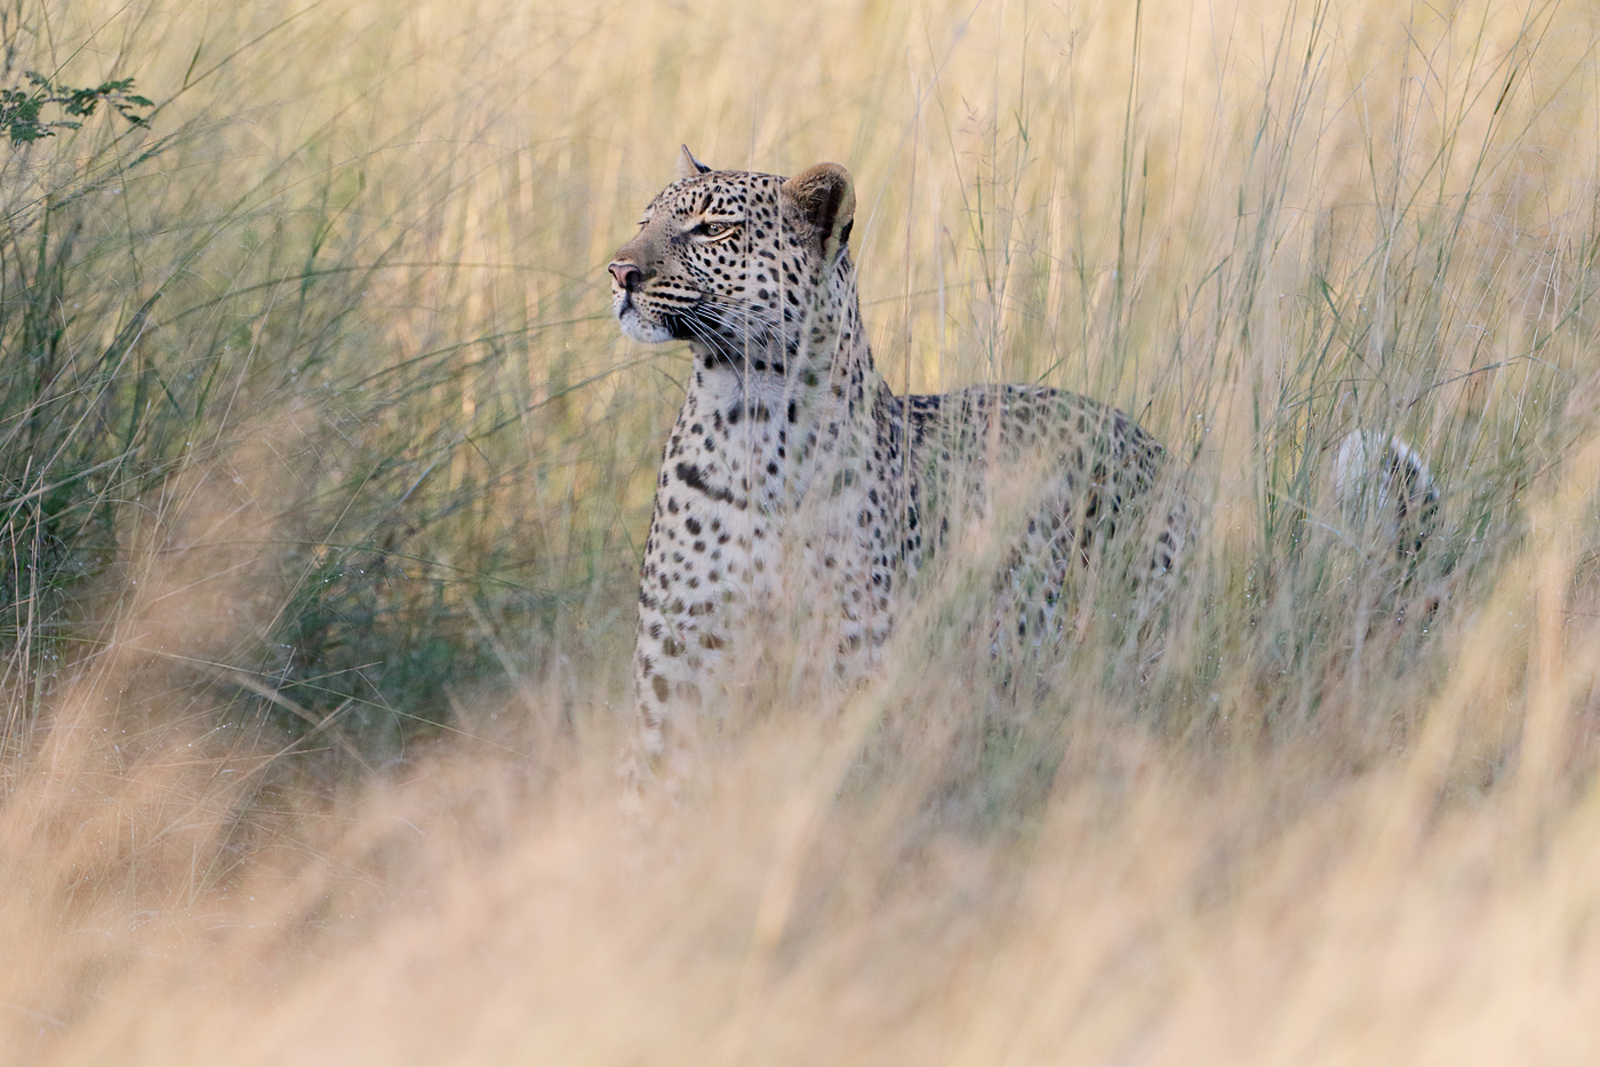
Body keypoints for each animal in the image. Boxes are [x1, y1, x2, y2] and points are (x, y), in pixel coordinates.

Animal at [608, 147, 1437, 771]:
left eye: (712, 228)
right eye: (647, 219)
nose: (619, 271)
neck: (751, 414)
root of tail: (1157, 451)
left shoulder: (846, 669)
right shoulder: (673, 667)